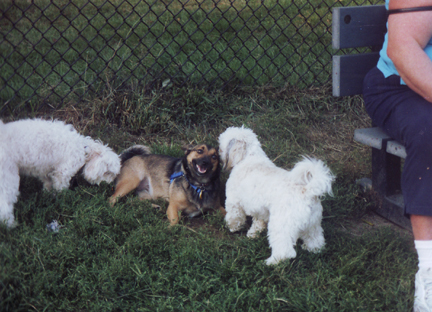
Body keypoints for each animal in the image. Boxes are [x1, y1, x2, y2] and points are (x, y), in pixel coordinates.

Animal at [219, 125, 334, 264]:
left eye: (220, 147)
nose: (218, 156)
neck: (250, 157)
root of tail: (307, 191)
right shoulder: (259, 209)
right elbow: (258, 222)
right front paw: (253, 234)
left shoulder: (233, 202)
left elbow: (234, 217)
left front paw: (232, 227)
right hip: (313, 226)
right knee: (316, 241)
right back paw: (312, 249)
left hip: (280, 226)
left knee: (285, 251)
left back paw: (271, 262)